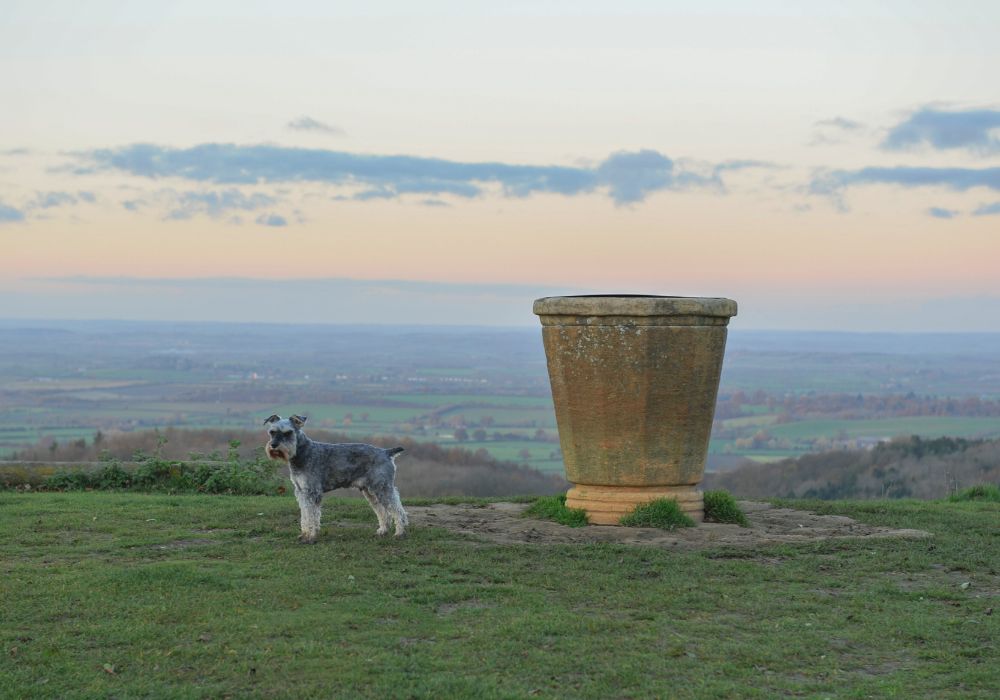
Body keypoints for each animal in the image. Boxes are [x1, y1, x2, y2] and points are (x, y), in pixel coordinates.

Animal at [266, 412, 410, 544]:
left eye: (288, 433)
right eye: (272, 432)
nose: (273, 445)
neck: (301, 452)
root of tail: (386, 452)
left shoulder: (312, 491)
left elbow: (312, 515)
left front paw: (311, 536)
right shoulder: (301, 492)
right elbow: (305, 515)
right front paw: (304, 534)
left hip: (382, 487)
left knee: (398, 510)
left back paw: (400, 533)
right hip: (370, 492)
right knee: (383, 511)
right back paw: (383, 531)